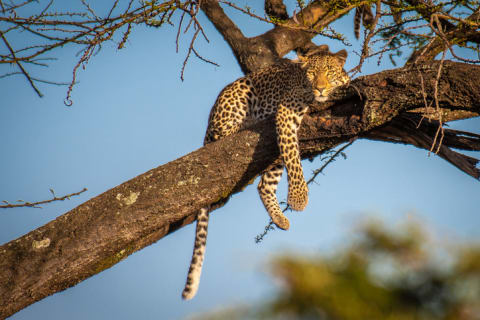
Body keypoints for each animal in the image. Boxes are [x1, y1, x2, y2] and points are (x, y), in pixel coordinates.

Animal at [182, 44, 350, 300]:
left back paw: (279, 219)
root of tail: (210, 117)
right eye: (312, 74)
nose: (320, 88)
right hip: (239, 94)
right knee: (223, 133)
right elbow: (294, 159)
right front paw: (299, 199)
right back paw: (243, 125)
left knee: (264, 185)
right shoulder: (287, 112)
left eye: (330, 72)